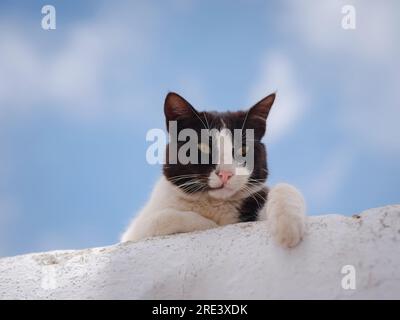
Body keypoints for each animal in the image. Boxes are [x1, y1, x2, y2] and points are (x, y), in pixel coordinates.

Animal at [120, 92, 304, 248]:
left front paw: (288, 225)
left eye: (243, 150)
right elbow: (161, 218)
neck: (215, 205)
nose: (226, 173)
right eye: (203, 147)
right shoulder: (136, 230)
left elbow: (284, 187)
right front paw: (208, 224)